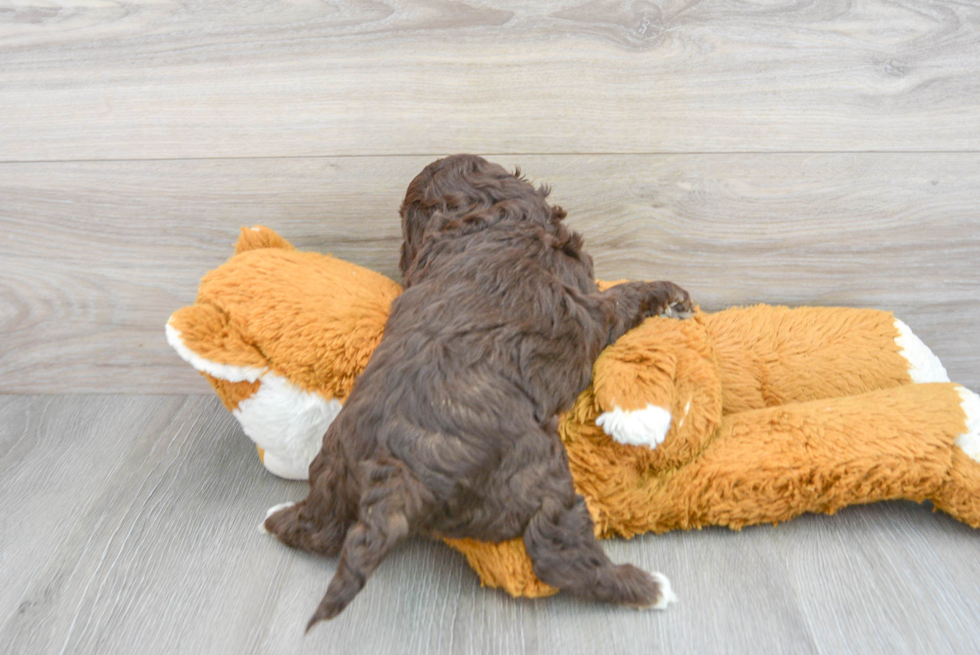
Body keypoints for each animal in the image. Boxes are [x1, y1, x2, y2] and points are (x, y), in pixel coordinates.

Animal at [262, 155, 688, 632]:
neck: (485, 218)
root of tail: (395, 472)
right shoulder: (593, 306)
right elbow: (623, 297)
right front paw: (669, 295)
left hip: (333, 467)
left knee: (321, 530)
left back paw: (277, 518)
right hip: (536, 474)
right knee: (553, 549)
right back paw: (648, 588)